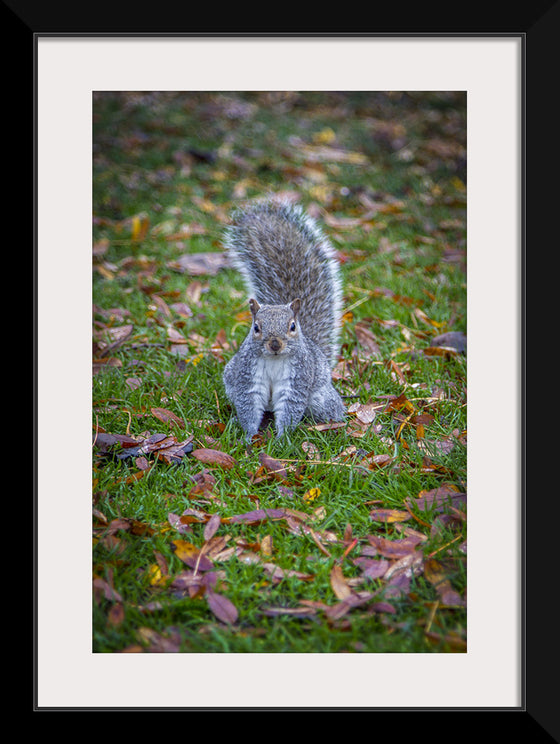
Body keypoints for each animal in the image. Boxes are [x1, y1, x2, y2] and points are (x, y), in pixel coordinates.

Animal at [223, 199, 346, 442]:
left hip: (320, 398)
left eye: (292, 326)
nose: (275, 344)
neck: (274, 360)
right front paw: (249, 436)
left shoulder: (297, 380)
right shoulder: (246, 377)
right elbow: (248, 405)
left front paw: (282, 439)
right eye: (256, 327)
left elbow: (290, 407)